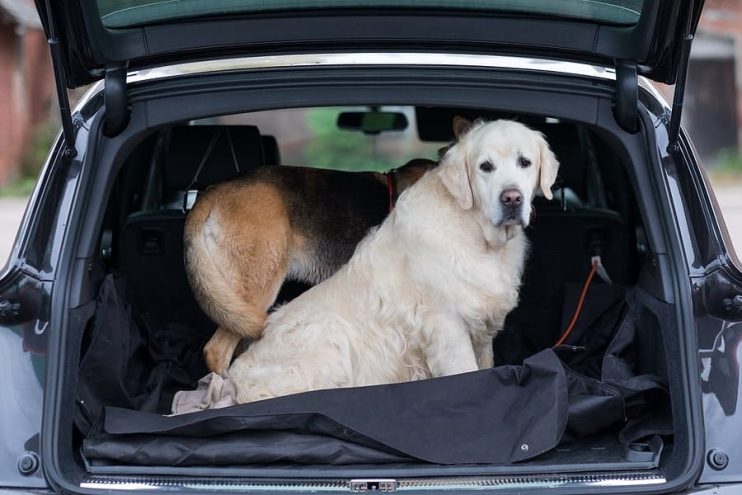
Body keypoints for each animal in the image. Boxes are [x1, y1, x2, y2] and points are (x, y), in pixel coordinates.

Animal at [230, 119, 560, 404]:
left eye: (525, 162)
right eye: (485, 167)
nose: (512, 198)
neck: (477, 235)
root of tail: (234, 379)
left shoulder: (482, 328)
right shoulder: (447, 326)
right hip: (328, 336)